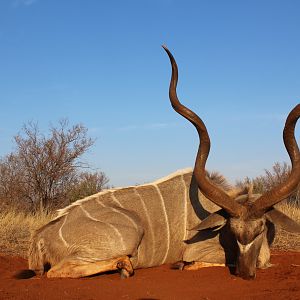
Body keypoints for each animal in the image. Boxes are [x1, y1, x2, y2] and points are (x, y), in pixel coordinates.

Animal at [19, 45, 300, 280]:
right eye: (232, 229)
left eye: (261, 227)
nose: (245, 273)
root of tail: (41, 236)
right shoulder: (199, 251)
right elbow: (216, 261)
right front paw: (183, 265)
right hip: (130, 232)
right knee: (56, 271)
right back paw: (124, 266)